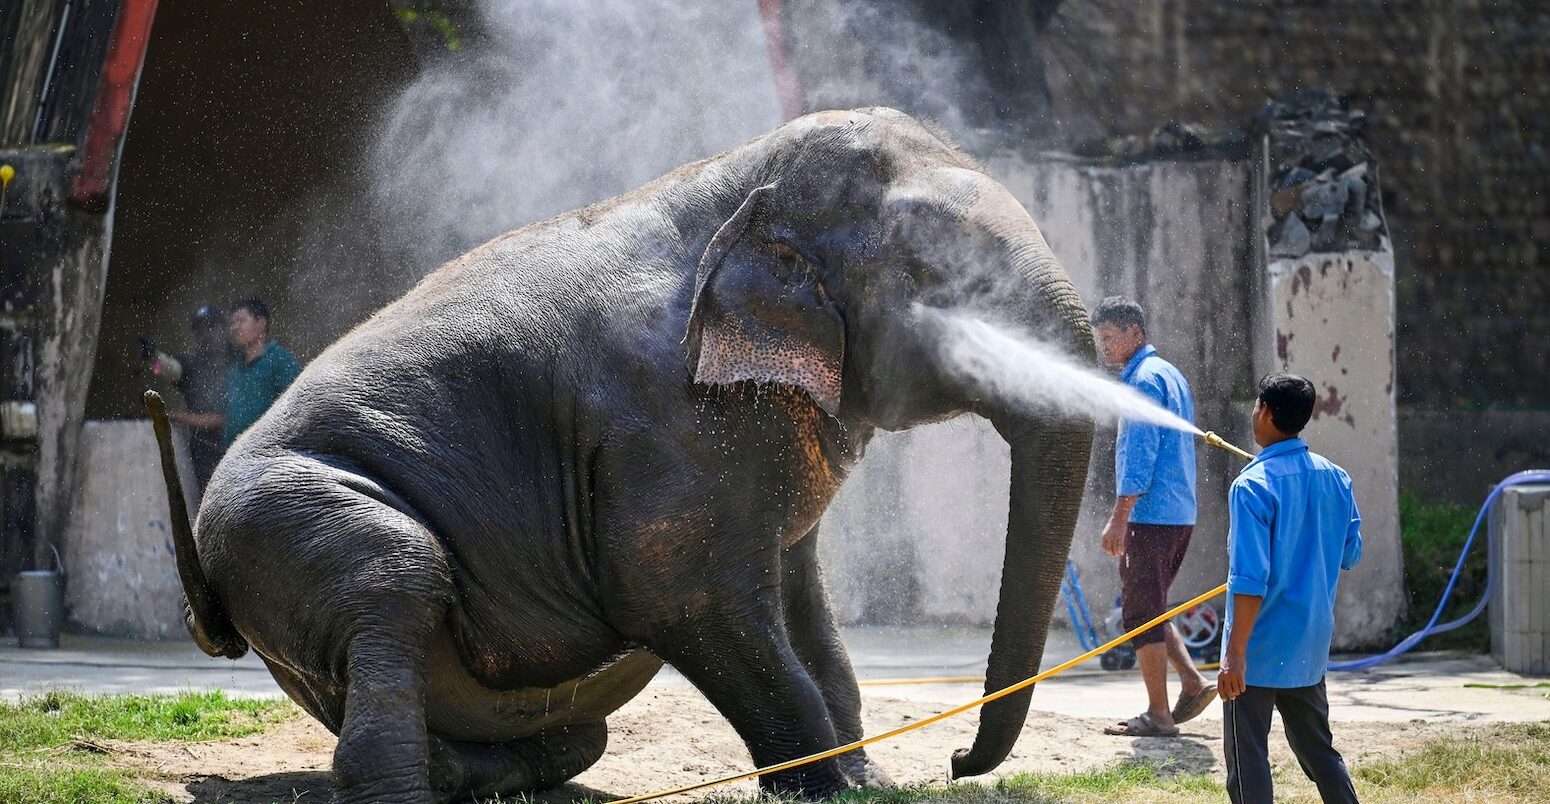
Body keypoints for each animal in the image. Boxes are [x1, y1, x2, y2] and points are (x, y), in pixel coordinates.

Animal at [151, 107, 1095, 803]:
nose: (957, 766)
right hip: (282, 522)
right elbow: (680, 594)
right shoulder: (664, 422)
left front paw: (868, 785)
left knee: (577, 730)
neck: (742, 177)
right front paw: (827, 788)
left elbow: (802, 598)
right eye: (948, 284)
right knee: (393, 571)